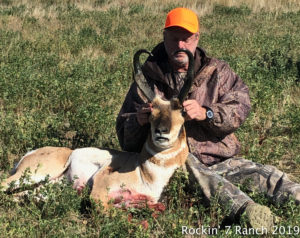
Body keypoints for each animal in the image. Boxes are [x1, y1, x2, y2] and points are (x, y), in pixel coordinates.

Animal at [0, 48, 195, 208]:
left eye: (182, 111)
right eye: (149, 111)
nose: (161, 132)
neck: (145, 173)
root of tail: (30, 154)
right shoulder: (99, 191)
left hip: (39, 189)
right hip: (37, 173)